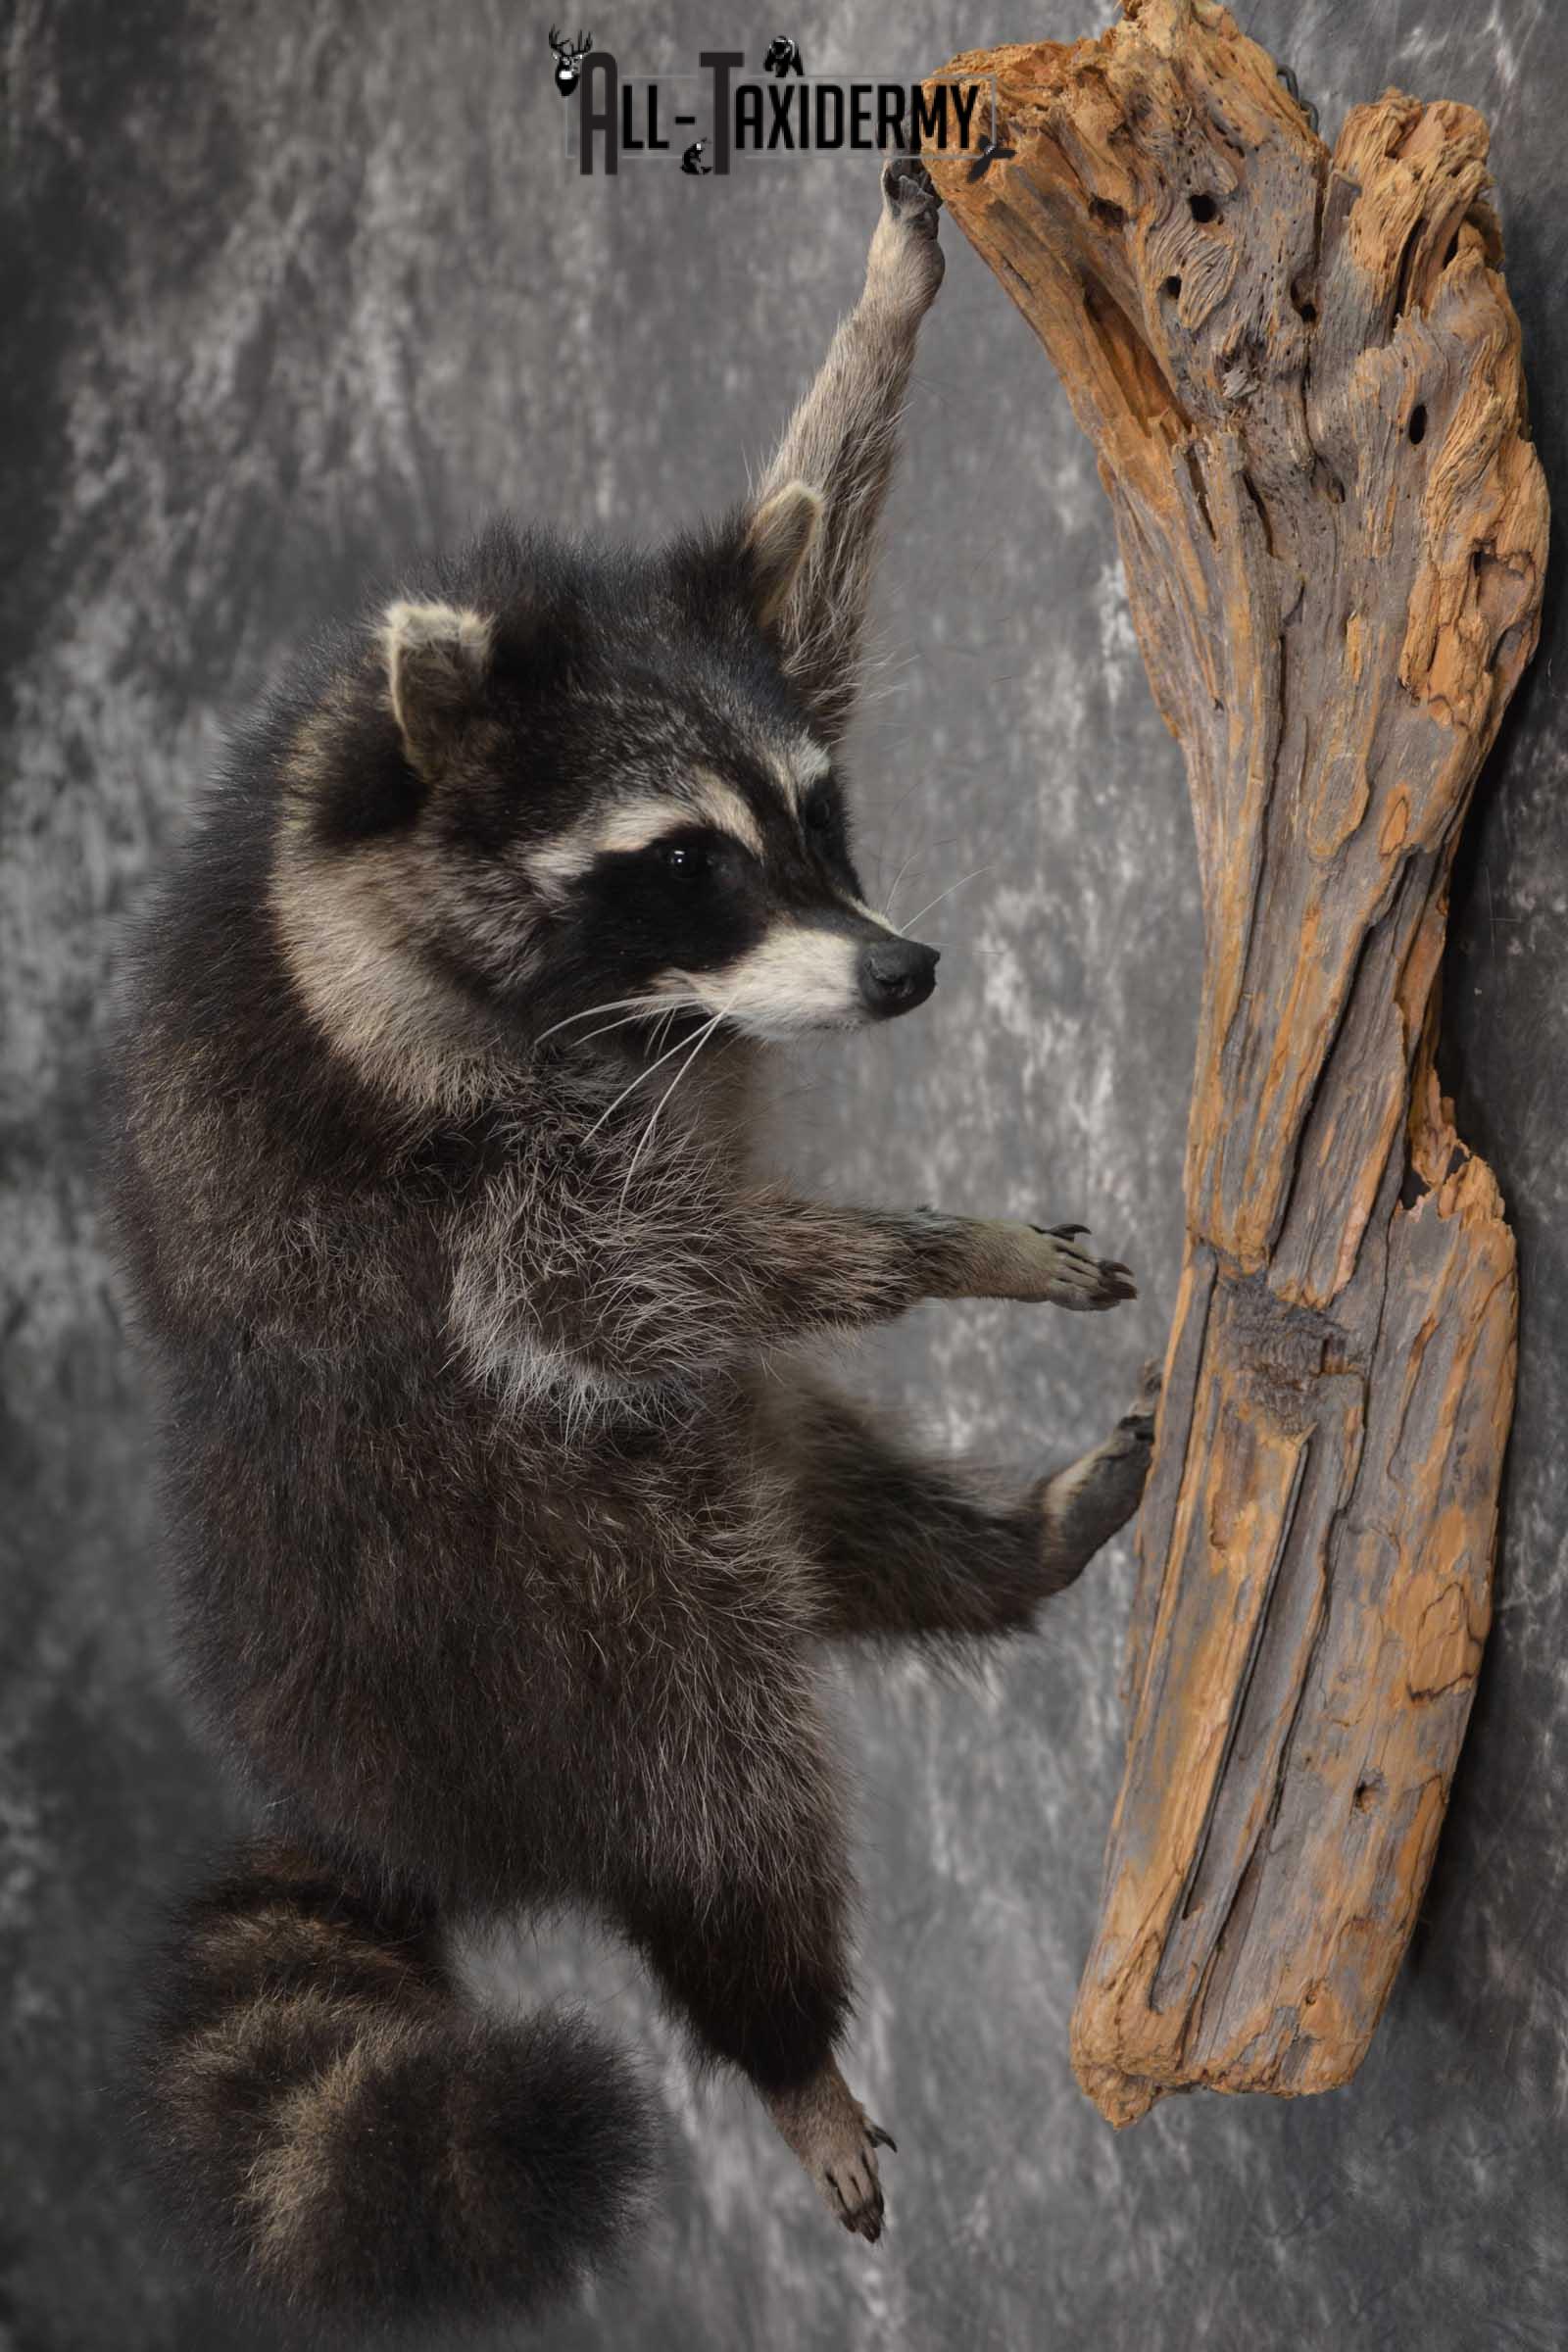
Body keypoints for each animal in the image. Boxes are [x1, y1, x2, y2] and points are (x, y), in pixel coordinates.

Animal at [112, 158, 1155, 2332]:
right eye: (680, 862)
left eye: (815, 818)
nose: (903, 972)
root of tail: (366, 1776)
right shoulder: (441, 1157)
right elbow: (590, 1277)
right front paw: (936, 1250)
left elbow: (806, 577)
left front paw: (881, 319)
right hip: (556, 1612)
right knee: (723, 1782)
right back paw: (779, 2034)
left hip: (703, 1466)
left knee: (831, 1504)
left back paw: (1002, 1546)